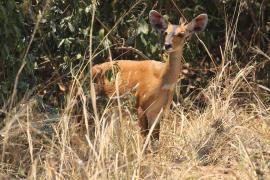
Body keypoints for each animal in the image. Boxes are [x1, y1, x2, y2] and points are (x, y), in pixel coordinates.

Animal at [92, 10, 208, 143]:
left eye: (181, 34)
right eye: (165, 32)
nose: (167, 45)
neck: (162, 79)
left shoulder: (158, 110)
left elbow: (155, 139)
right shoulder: (141, 104)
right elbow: (144, 138)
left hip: (113, 108)